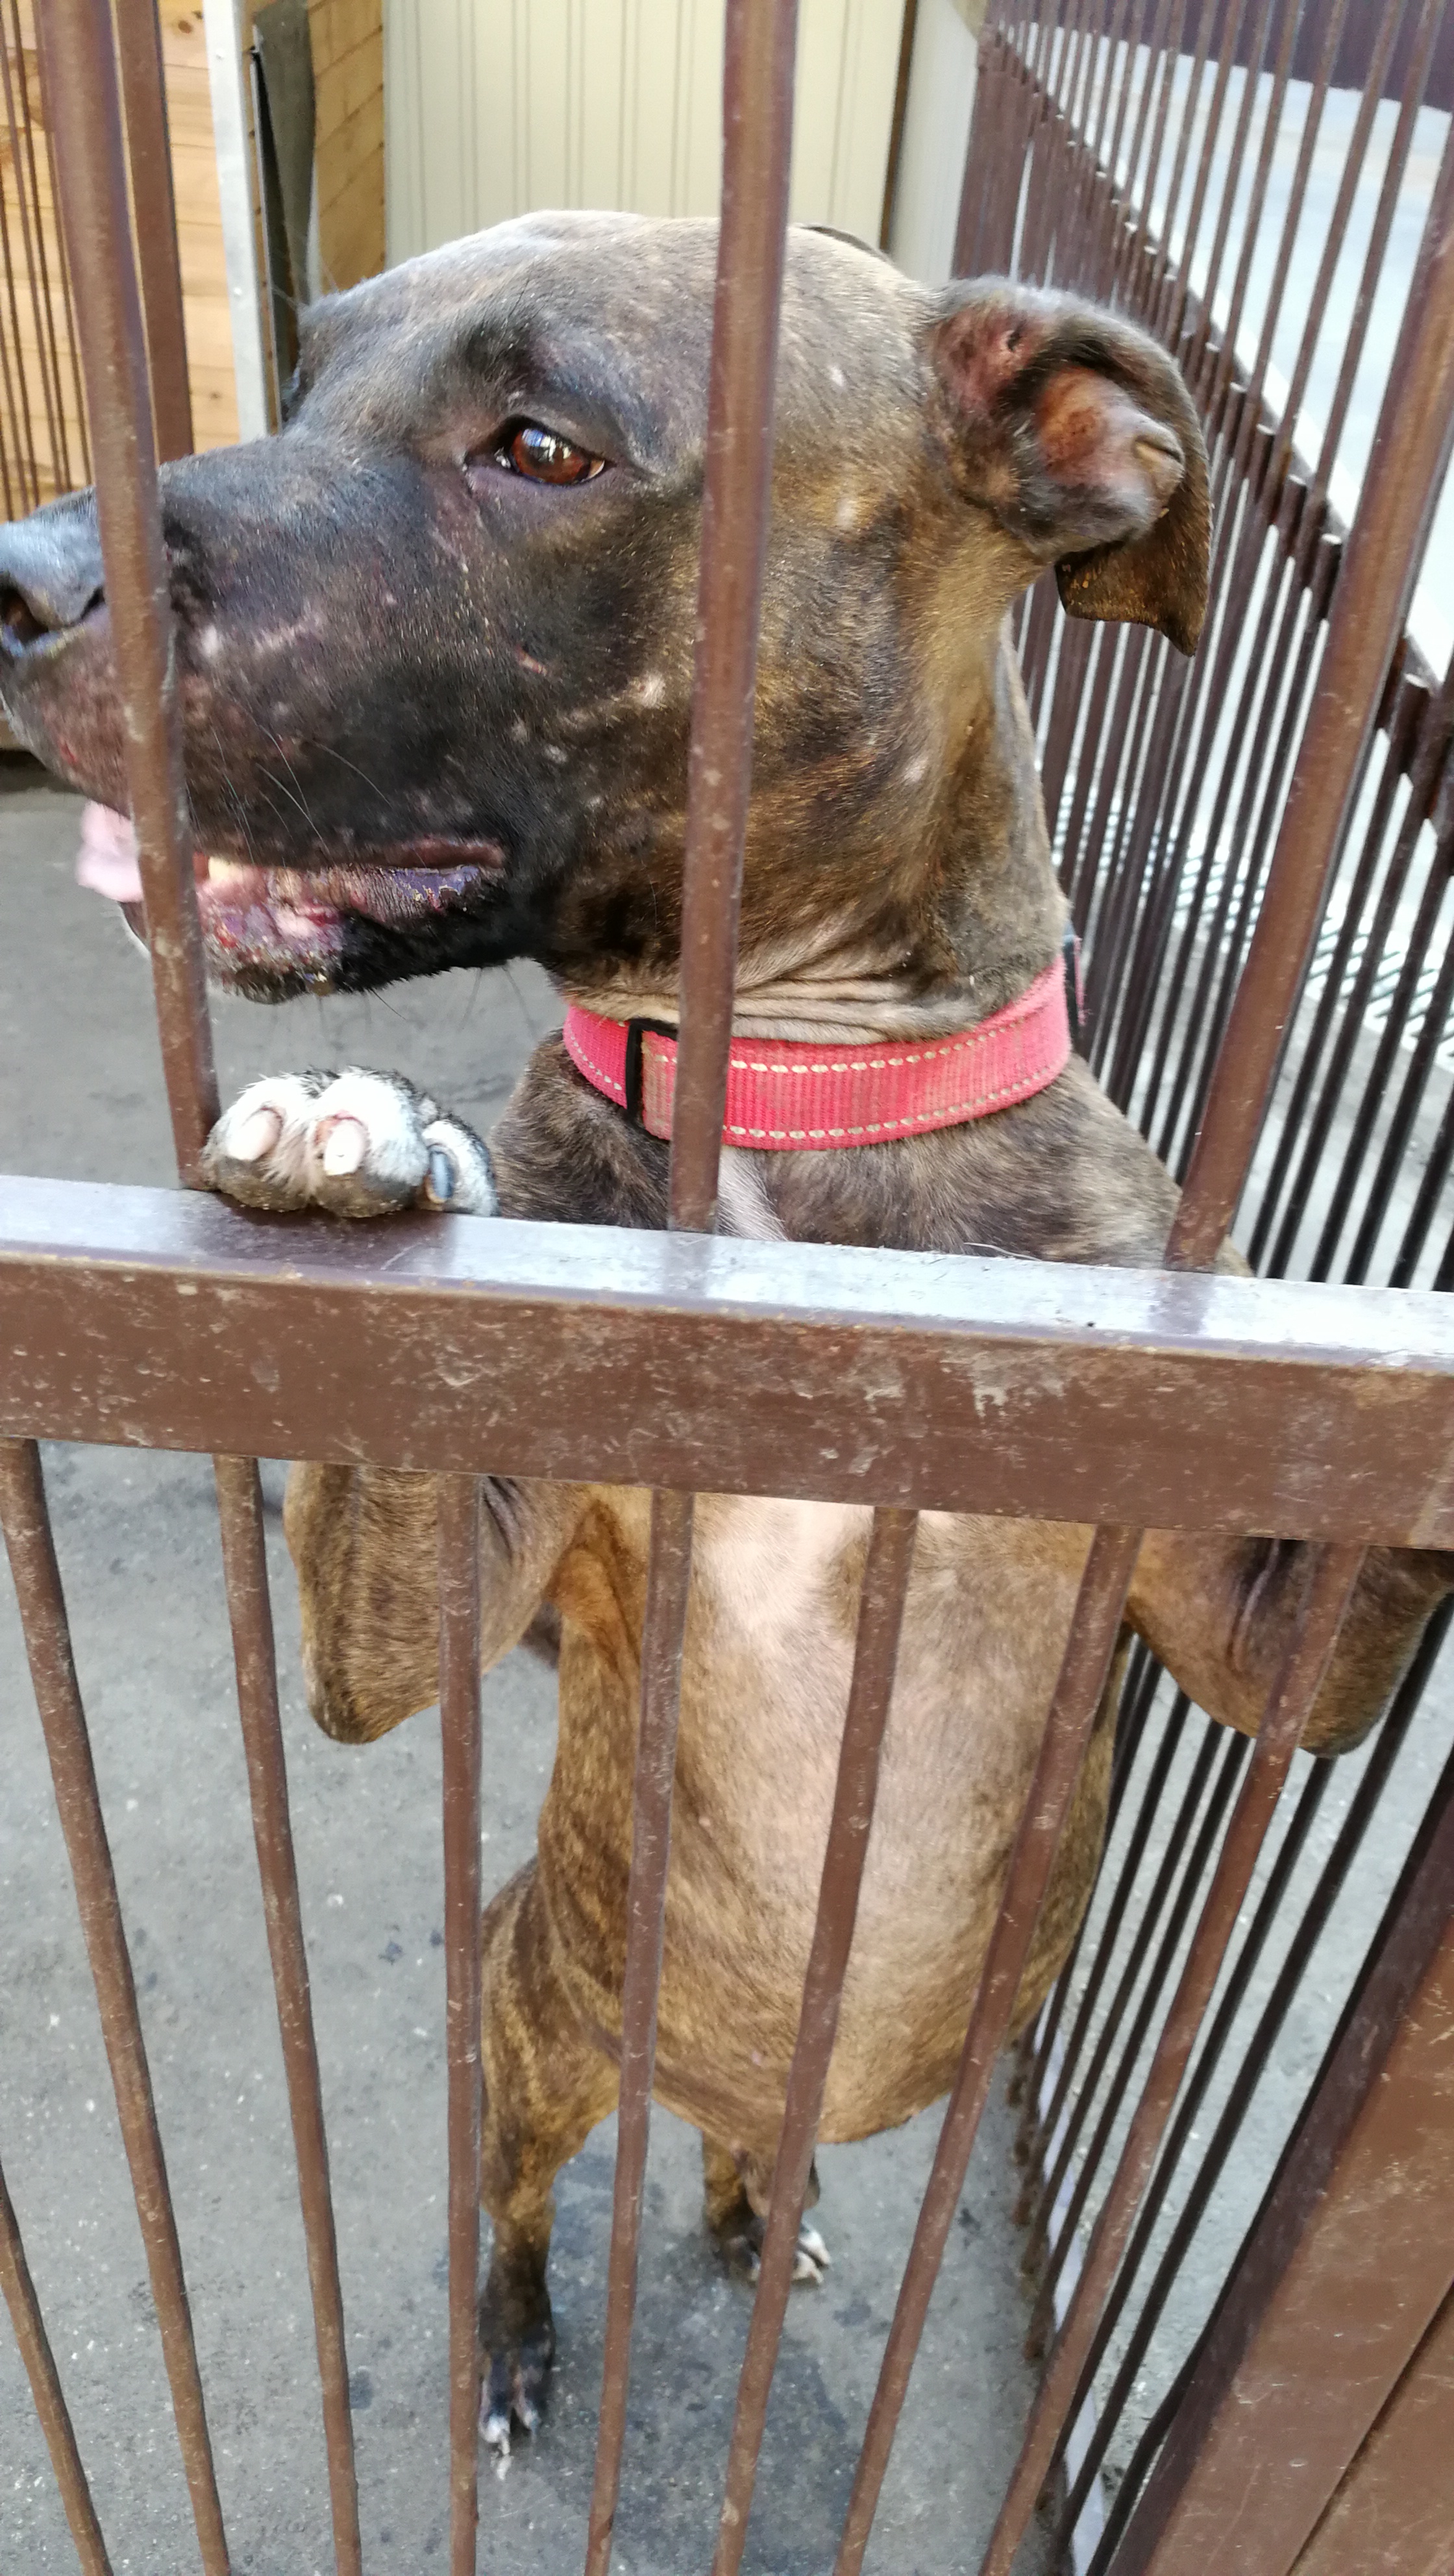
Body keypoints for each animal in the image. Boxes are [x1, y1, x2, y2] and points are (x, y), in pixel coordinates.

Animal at [2, 214, 1448, 2451]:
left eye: (540, 444)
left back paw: (760, 2211)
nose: (20, 570)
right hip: (534, 2029)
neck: (783, 1116)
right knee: (518, 2195)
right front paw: (344, 1141)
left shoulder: (1248, 1625)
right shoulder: (435, 1606)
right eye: (305, 376)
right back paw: (519, 2339)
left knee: (735, 2152)